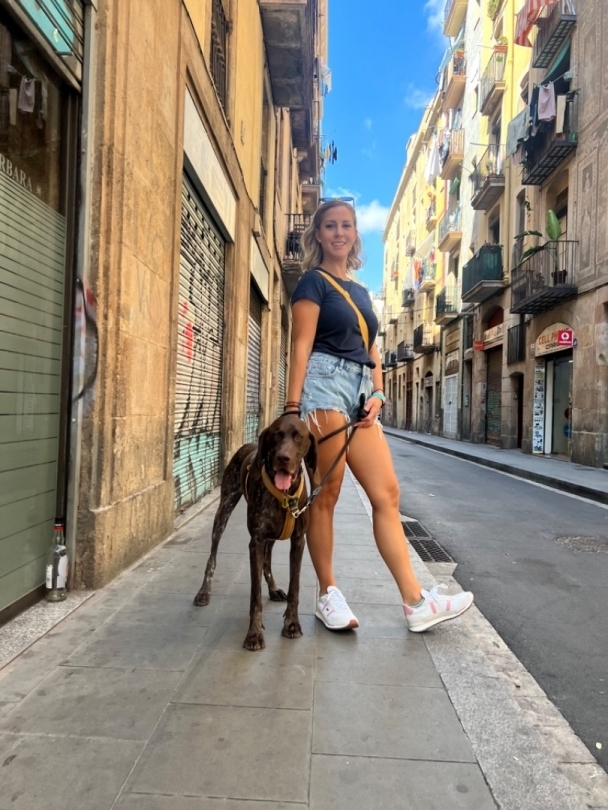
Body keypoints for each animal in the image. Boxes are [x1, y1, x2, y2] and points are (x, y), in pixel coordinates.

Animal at [193, 413, 318, 651]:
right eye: (276, 435)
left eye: (298, 436)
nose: (283, 458)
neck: (284, 495)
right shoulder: (256, 542)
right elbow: (255, 596)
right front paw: (253, 635)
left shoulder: (298, 540)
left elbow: (294, 587)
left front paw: (291, 624)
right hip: (224, 510)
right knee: (212, 557)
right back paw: (204, 592)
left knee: (267, 563)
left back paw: (274, 589)